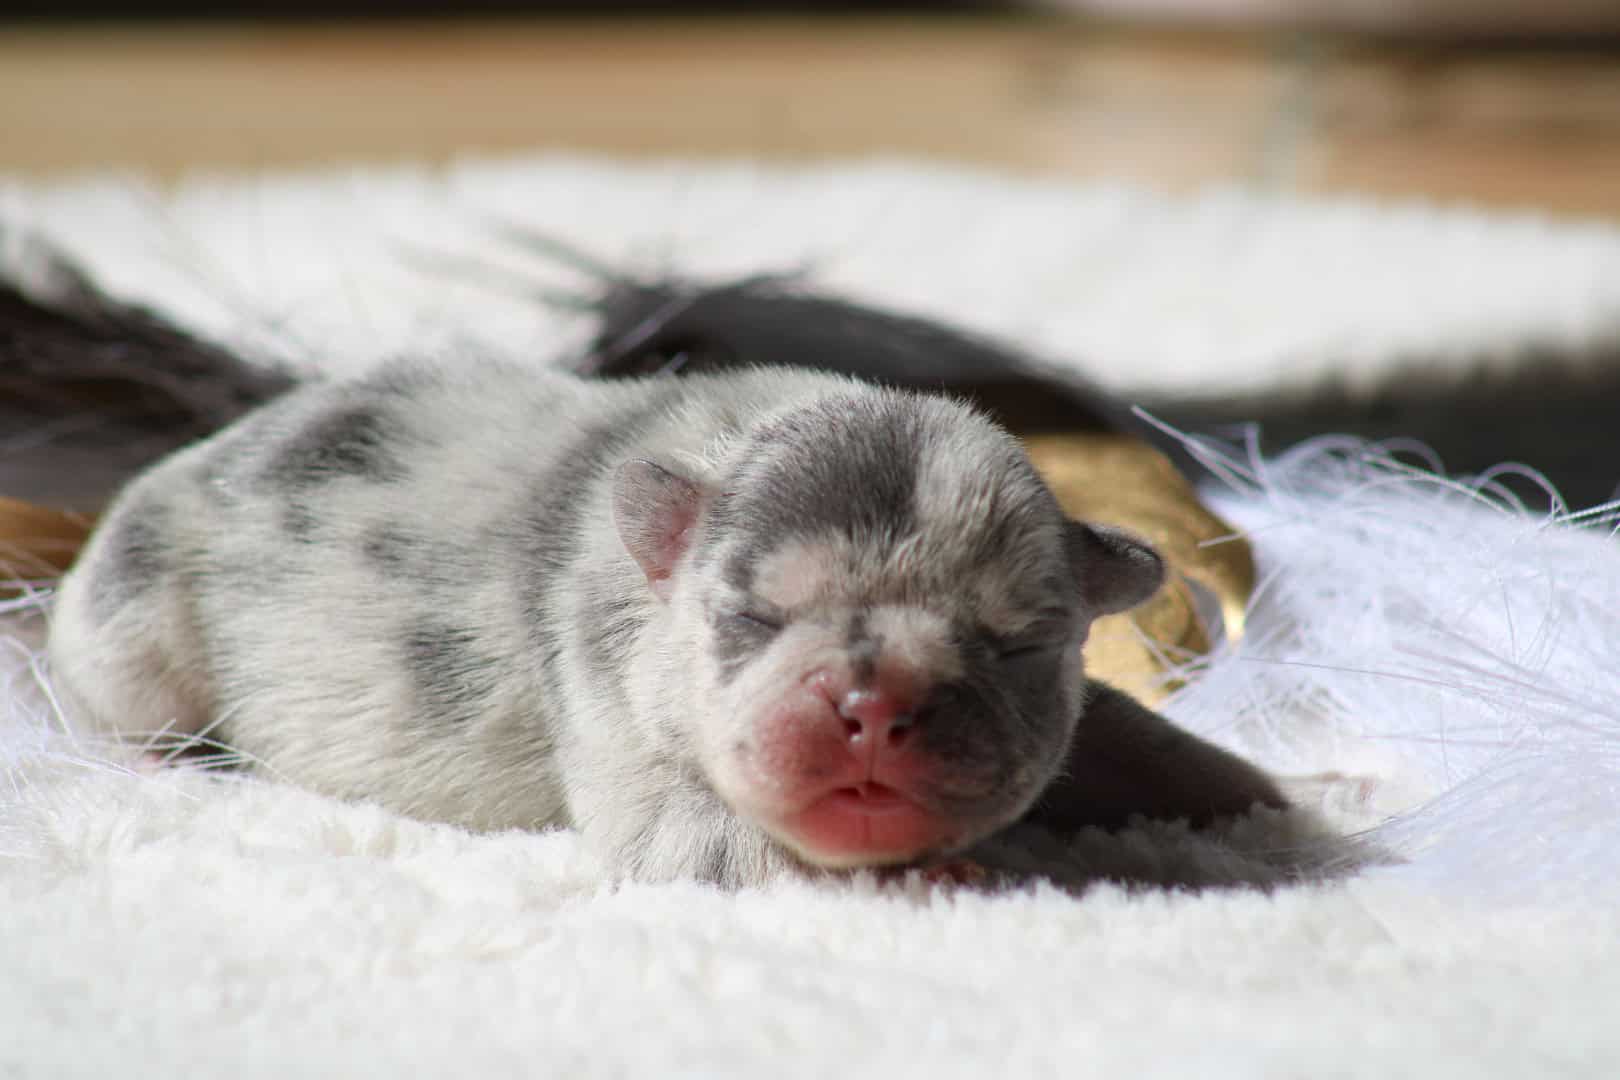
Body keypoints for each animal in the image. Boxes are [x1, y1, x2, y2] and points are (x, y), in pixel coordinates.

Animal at [50, 362, 1283, 887]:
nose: (876, 702)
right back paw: (164, 763)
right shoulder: (607, 707)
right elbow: (713, 847)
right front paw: (944, 880)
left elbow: (1130, 734)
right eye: (752, 615)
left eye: (1021, 643)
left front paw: (1268, 797)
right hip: (131, 618)